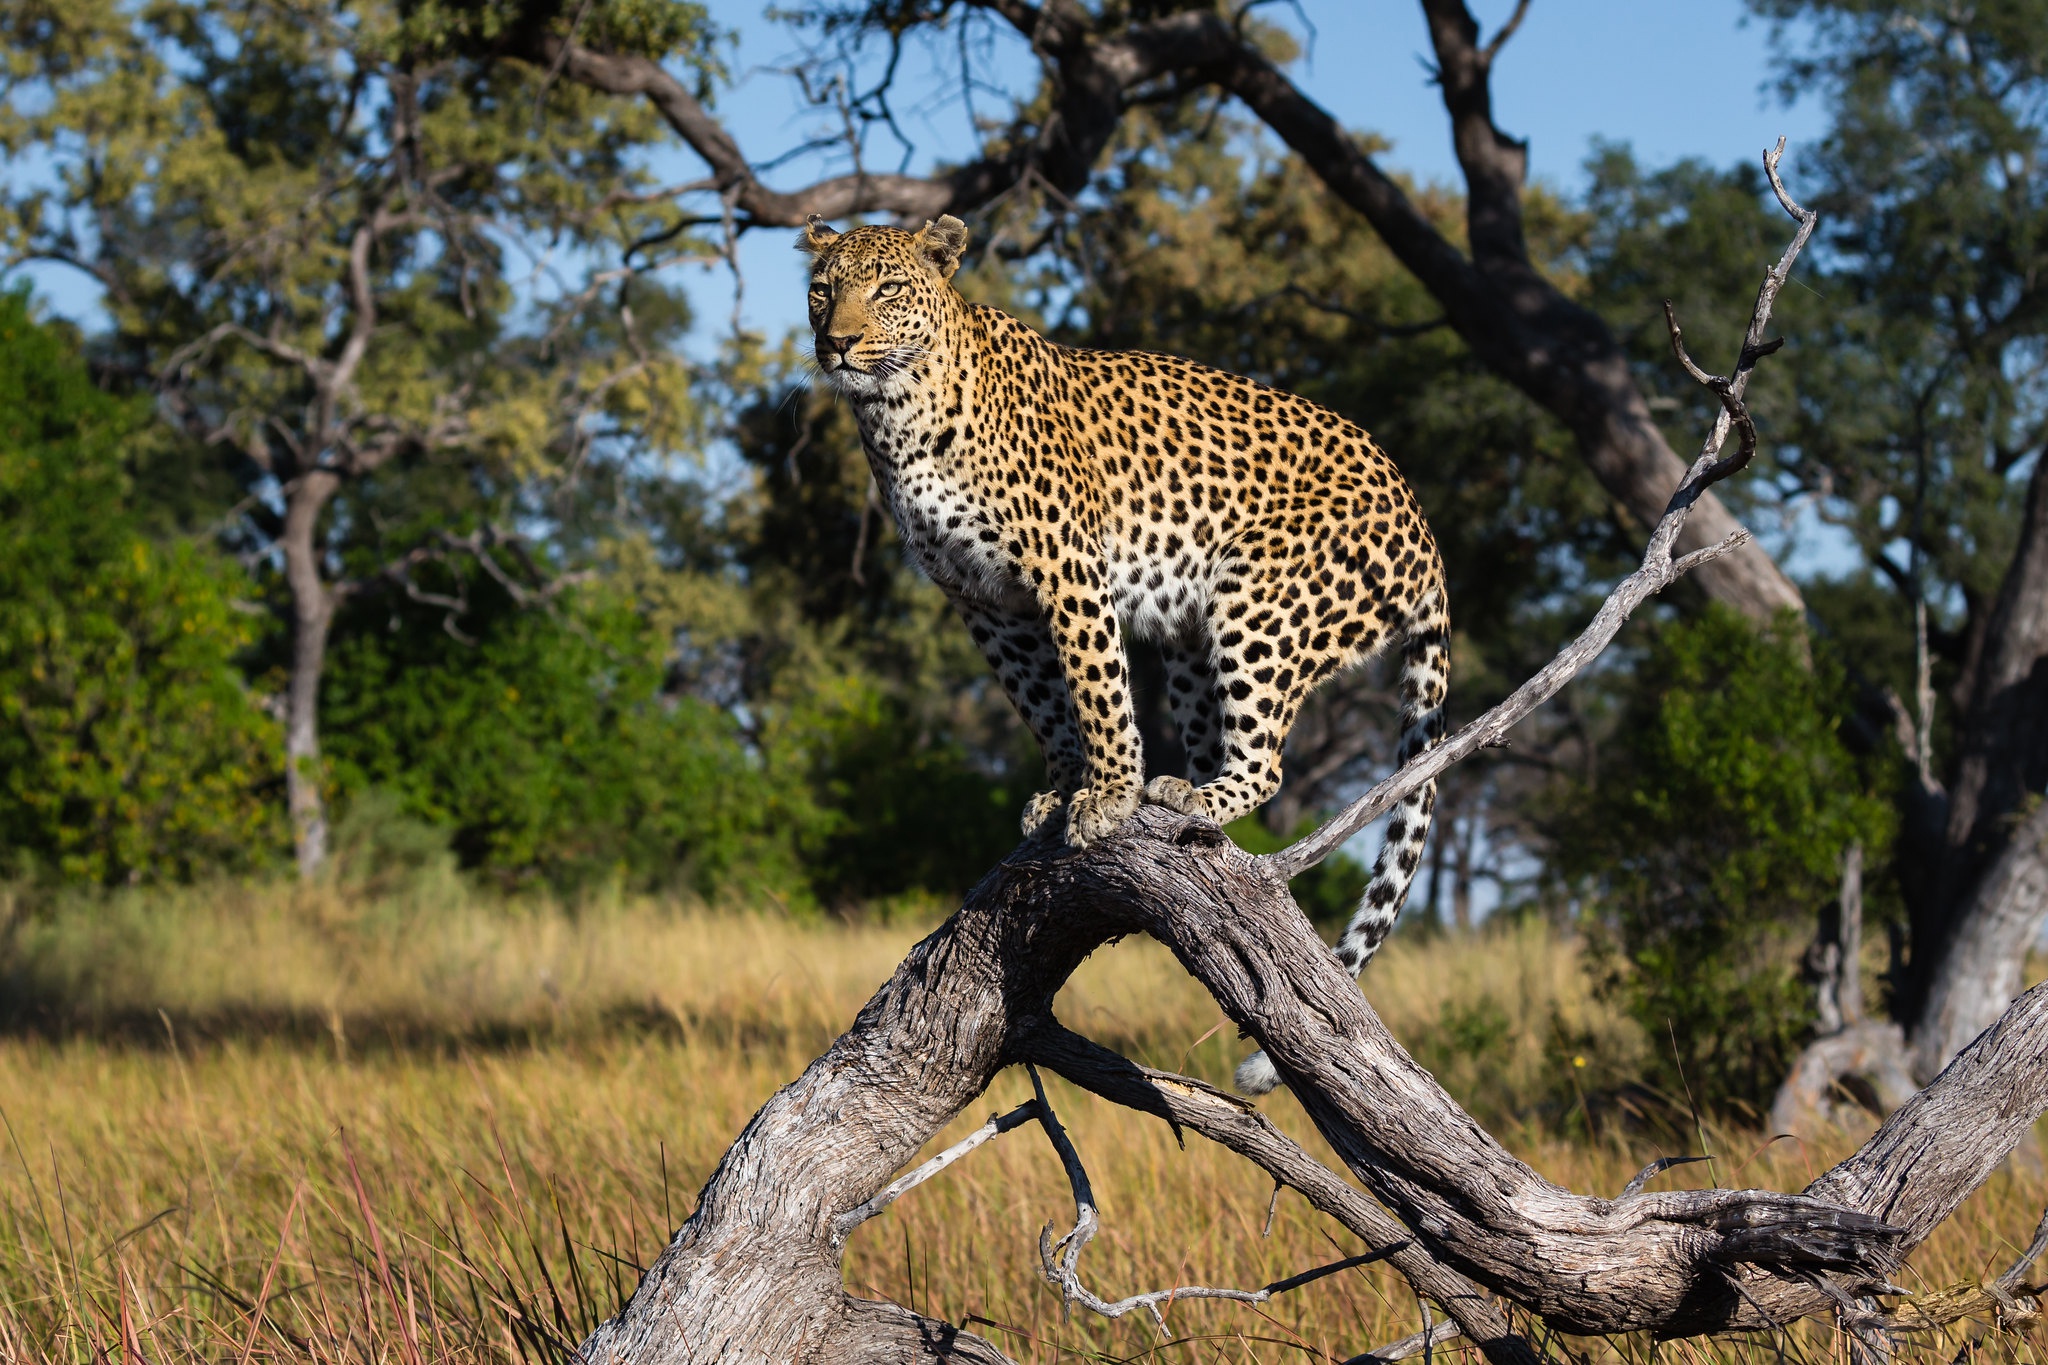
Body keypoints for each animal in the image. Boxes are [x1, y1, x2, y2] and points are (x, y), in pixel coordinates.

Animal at [790, 215, 1449, 1096]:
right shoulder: (986, 603)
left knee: (1269, 761)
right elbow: (1042, 701)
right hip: (1192, 638)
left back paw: (1191, 795)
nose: (836, 342)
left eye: (888, 288)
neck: (897, 414)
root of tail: (1423, 523)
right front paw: (1061, 787)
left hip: (1256, 598)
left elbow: (1095, 683)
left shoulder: (1065, 565)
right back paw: (1185, 796)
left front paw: (1104, 796)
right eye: (821, 290)